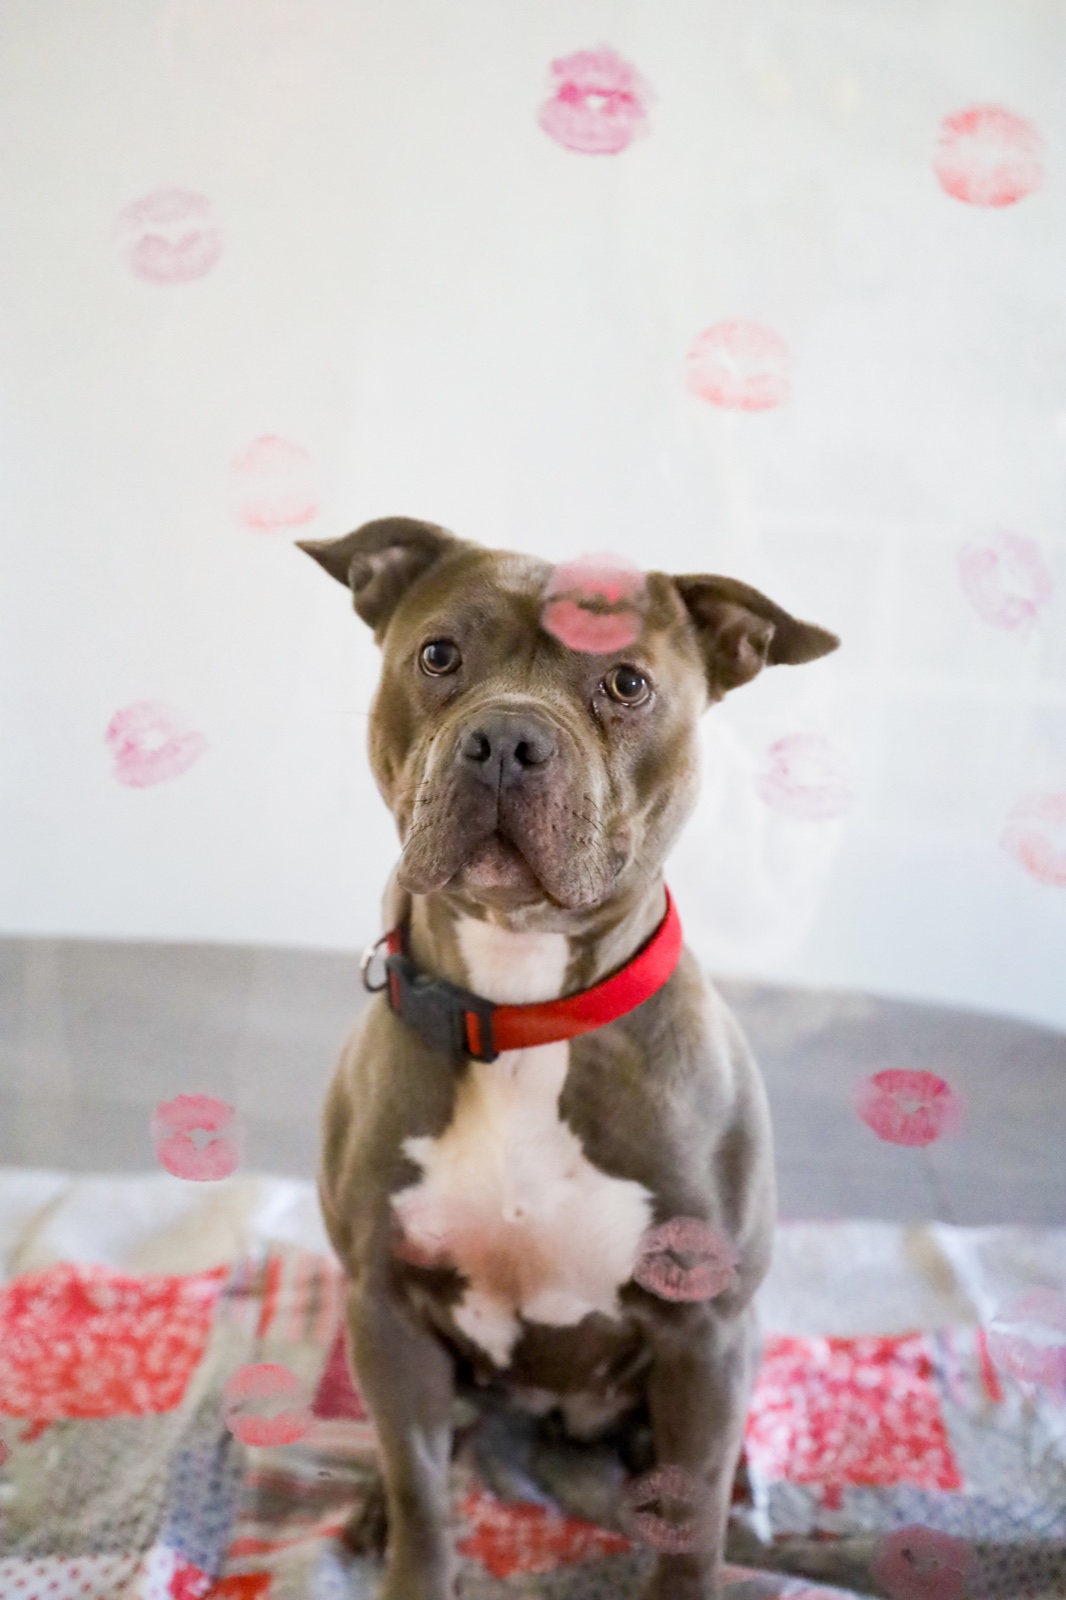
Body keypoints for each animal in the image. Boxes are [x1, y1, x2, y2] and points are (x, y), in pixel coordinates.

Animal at [302, 517, 838, 1600]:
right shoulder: (384, 1306)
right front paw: (408, 1545)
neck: (521, 1014)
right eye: (438, 655)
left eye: (627, 683)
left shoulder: (704, 1334)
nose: (507, 739)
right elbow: (423, 1490)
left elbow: (690, 1529)